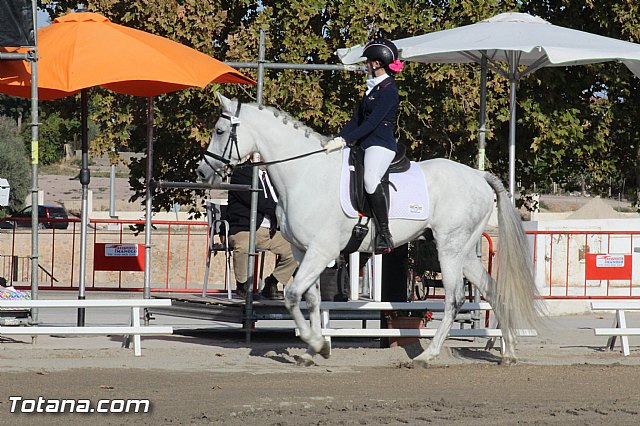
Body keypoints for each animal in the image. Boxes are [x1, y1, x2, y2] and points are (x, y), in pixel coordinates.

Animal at [197, 93, 543, 367]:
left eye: (220, 130)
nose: (202, 173)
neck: (305, 173)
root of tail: (478, 175)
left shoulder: (322, 250)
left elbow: (293, 295)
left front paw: (317, 344)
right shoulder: (303, 251)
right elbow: (312, 299)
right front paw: (314, 350)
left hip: (450, 248)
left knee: (454, 299)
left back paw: (426, 356)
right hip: (465, 252)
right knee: (493, 290)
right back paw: (508, 353)